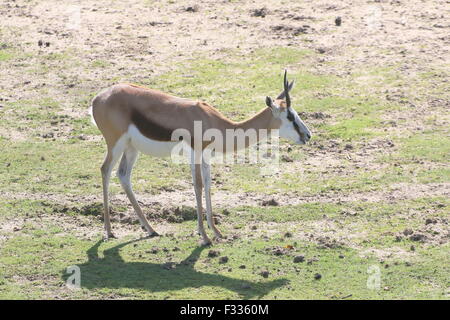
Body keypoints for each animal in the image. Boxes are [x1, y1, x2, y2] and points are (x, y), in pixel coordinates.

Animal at [89, 70, 312, 245]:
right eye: (290, 116)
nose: (308, 135)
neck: (213, 121)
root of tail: (98, 98)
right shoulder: (194, 154)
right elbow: (198, 185)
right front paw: (204, 237)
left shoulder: (205, 156)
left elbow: (208, 184)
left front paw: (216, 232)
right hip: (115, 144)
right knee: (105, 170)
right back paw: (109, 231)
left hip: (131, 148)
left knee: (123, 175)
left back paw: (151, 229)